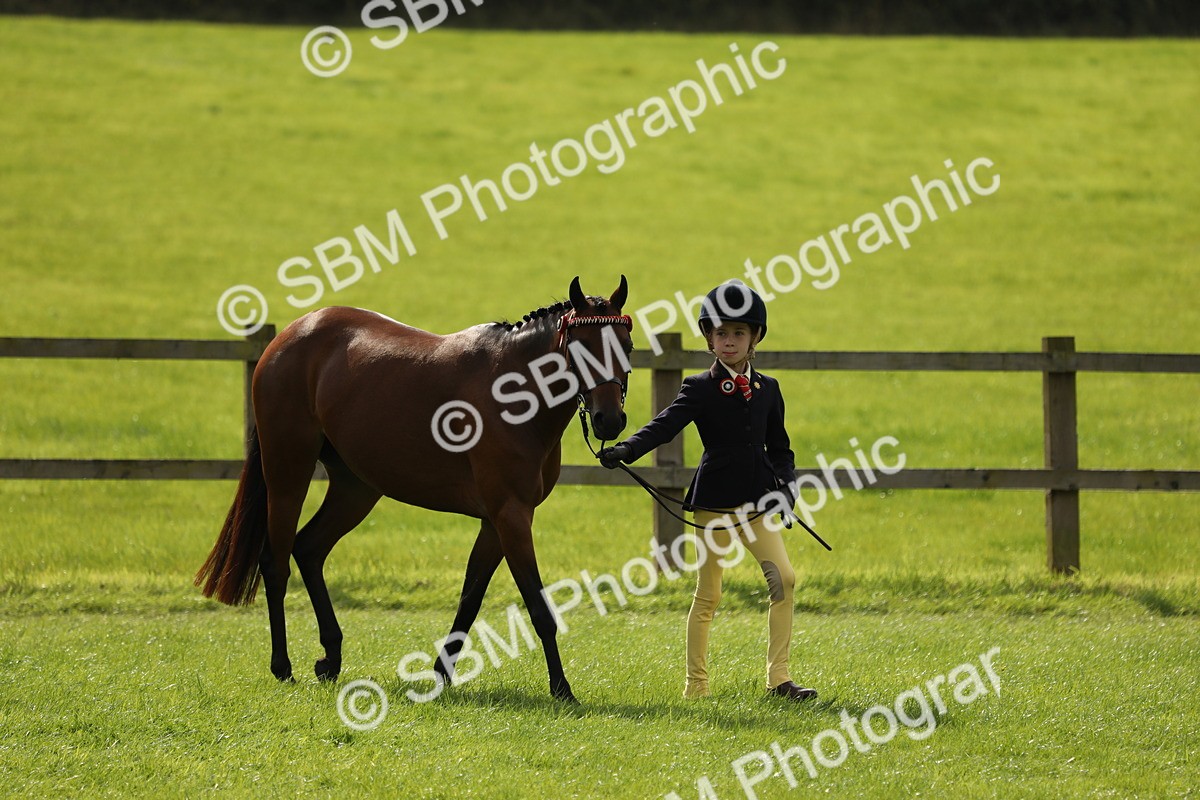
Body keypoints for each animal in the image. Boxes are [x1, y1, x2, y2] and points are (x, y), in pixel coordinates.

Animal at [195, 276, 633, 703]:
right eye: (583, 348)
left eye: (626, 347)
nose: (609, 421)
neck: (516, 392)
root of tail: (289, 336)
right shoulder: (511, 515)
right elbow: (539, 609)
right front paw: (562, 689)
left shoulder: (494, 523)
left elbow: (470, 599)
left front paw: (441, 674)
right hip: (288, 473)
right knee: (276, 561)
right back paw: (282, 666)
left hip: (356, 488)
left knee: (309, 548)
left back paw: (331, 658)